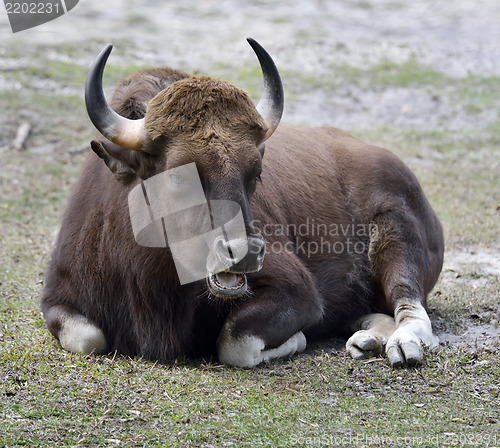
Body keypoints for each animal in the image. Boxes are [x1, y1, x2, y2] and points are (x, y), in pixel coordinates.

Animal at [41, 39, 444, 368]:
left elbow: (235, 342)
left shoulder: (298, 290)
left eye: (256, 172)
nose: (245, 252)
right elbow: (88, 338)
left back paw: (402, 343)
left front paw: (297, 339)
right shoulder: (57, 297)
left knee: (412, 308)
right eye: (178, 176)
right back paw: (369, 337)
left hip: (397, 235)